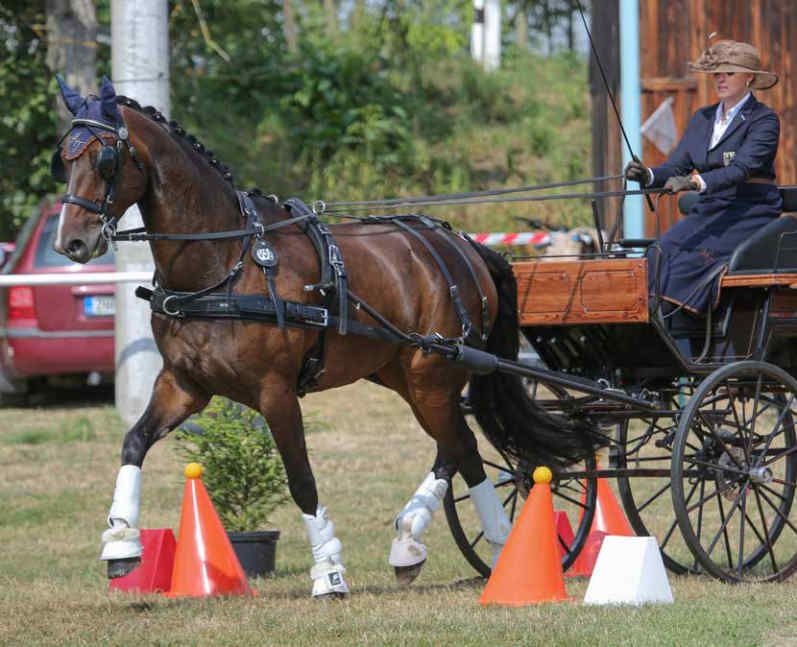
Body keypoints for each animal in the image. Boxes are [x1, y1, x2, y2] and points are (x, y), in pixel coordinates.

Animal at [49, 78, 592, 600]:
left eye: (104, 158)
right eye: (64, 159)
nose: (70, 242)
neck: (226, 263)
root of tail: (464, 246)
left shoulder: (275, 392)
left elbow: (301, 479)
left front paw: (329, 573)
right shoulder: (184, 384)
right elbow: (134, 442)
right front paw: (121, 543)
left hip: (432, 375)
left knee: (465, 449)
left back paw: (500, 548)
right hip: (402, 374)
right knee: (453, 447)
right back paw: (410, 541)